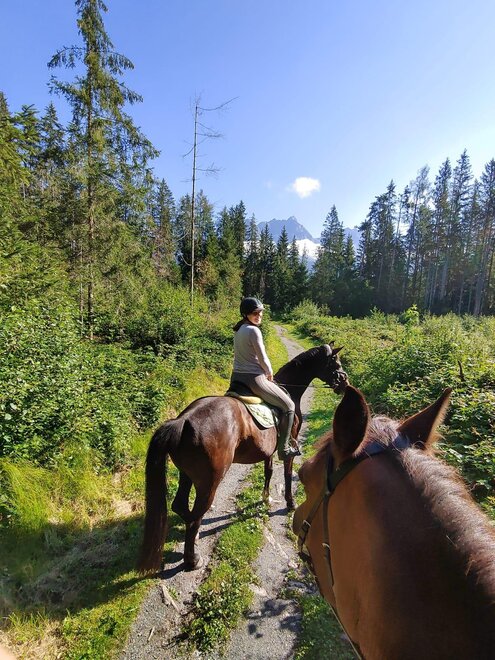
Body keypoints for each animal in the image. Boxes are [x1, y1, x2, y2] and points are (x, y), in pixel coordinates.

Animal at [138, 343, 348, 573]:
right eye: (335, 362)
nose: (344, 382)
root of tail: (182, 420)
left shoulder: (268, 451)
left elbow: (268, 471)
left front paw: (265, 497)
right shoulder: (287, 448)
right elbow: (286, 474)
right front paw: (290, 503)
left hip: (187, 475)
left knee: (181, 507)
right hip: (209, 482)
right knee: (194, 517)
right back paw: (192, 559)